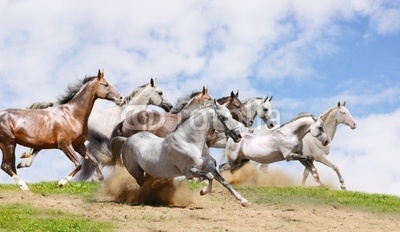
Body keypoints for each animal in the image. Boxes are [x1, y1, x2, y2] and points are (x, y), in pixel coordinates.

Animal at [16, 78, 172, 169]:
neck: (126, 113)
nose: (170, 106)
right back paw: (24, 162)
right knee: (36, 149)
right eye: (160, 92)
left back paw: (23, 162)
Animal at [109, 99, 250, 207]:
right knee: (142, 185)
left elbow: (224, 181)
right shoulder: (189, 171)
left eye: (231, 116)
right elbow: (209, 177)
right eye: (224, 118)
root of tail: (127, 140)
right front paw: (203, 192)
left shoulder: (208, 166)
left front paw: (244, 201)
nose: (238, 136)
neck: (189, 141)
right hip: (136, 172)